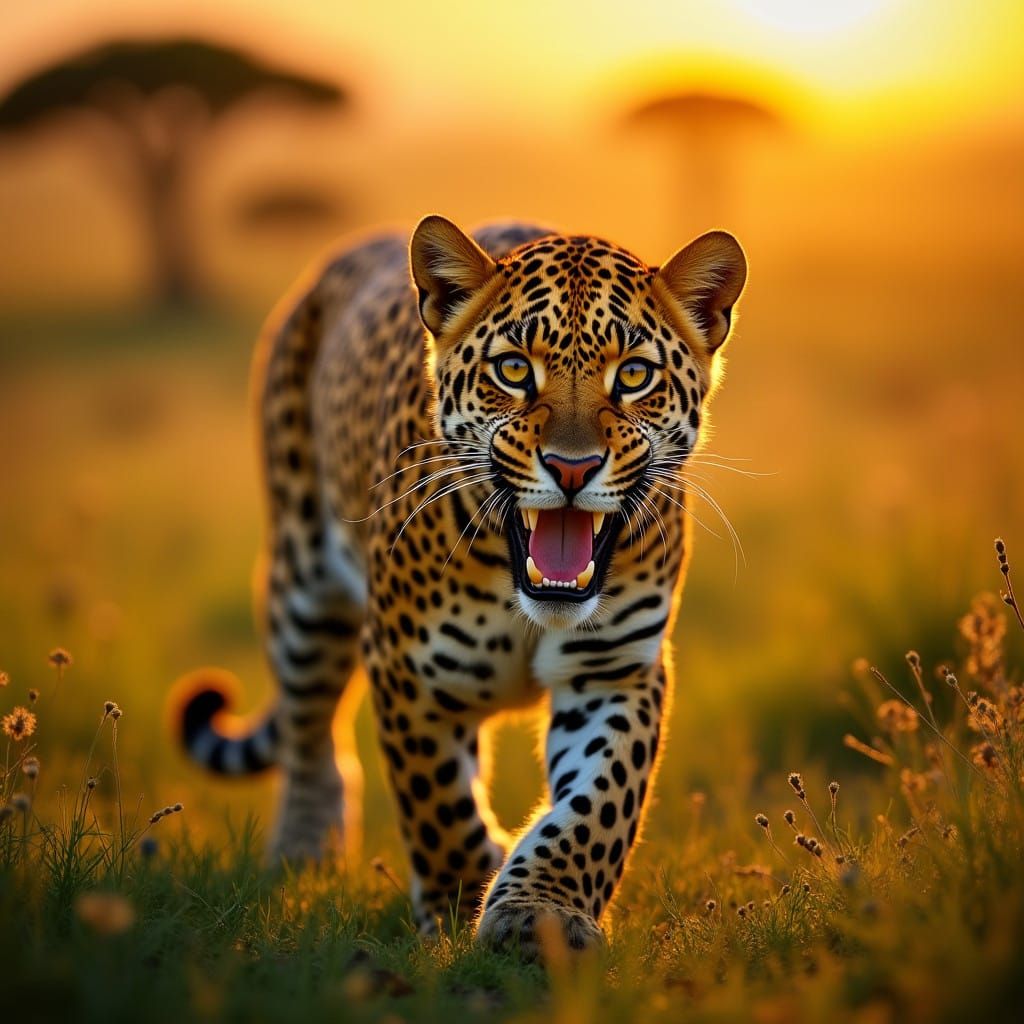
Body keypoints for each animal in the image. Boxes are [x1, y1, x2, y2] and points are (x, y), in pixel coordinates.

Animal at [172, 215, 747, 959]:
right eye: (514, 369)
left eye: (634, 375)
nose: (572, 468)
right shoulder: (410, 669)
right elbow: (438, 803)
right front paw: (458, 901)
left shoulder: (616, 670)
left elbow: (598, 805)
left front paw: (540, 912)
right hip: (303, 593)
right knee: (309, 735)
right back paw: (305, 852)